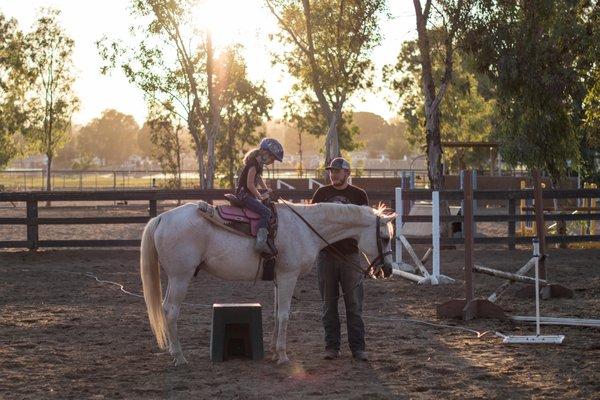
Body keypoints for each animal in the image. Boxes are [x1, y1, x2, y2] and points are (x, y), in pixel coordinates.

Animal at [139, 202, 394, 364]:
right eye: (385, 238)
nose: (388, 270)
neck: (304, 229)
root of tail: (162, 217)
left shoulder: (279, 279)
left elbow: (275, 313)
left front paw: (273, 351)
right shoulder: (288, 276)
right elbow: (284, 315)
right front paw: (282, 356)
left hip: (175, 278)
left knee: (164, 309)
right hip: (181, 278)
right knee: (171, 311)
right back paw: (179, 356)